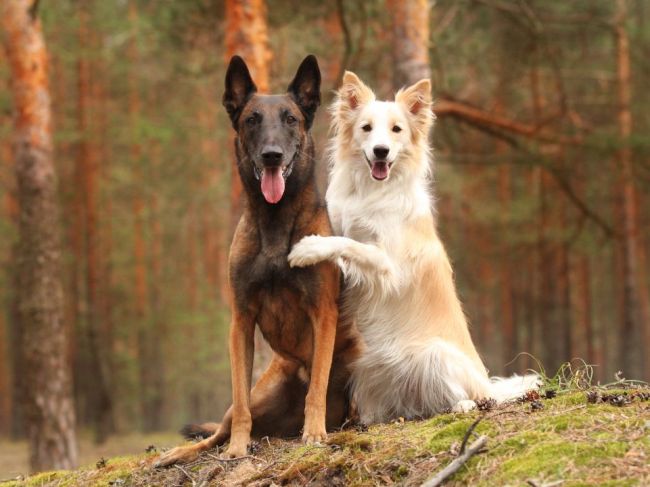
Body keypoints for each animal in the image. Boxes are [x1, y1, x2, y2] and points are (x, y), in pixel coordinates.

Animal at [156, 54, 360, 468]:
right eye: (252, 119)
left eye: (290, 119)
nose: (271, 155)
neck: (275, 221)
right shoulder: (241, 319)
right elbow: (238, 397)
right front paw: (238, 446)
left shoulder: (323, 313)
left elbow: (317, 385)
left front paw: (315, 433)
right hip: (262, 392)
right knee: (220, 427)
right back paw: (181, 452)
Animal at [288, 70, 536, 426]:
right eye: (366, 128)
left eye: (397, 129)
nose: (380, 151)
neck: (371, 191)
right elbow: (341, 234)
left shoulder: (387, 264)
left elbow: (349, 243)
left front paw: (308, 249)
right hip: (368, 368)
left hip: (436, 356)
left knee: (472, 397)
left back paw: (463, 405)